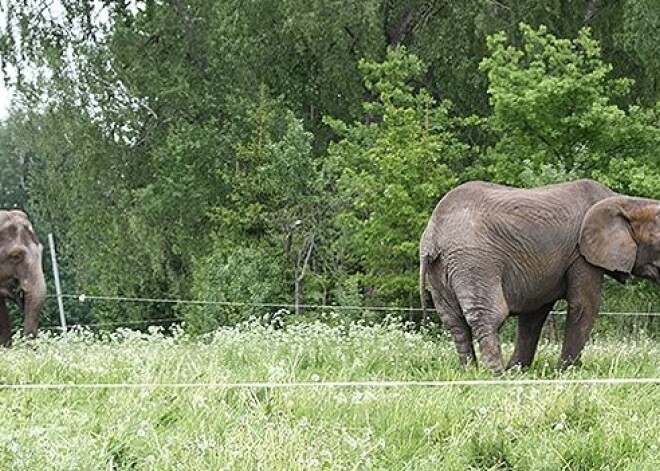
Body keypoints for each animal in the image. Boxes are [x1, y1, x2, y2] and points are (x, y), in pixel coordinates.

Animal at [420, 179, 656, 374]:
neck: (626, 202)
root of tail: (432, 235)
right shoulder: (581, 255)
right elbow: (584, 305)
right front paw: (566, 373)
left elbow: (534, 314)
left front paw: (518, 371)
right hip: (474, 260)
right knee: (487, 316)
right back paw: (495, 375)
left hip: (441, 269)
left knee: (454, 322)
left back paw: (469, 373)